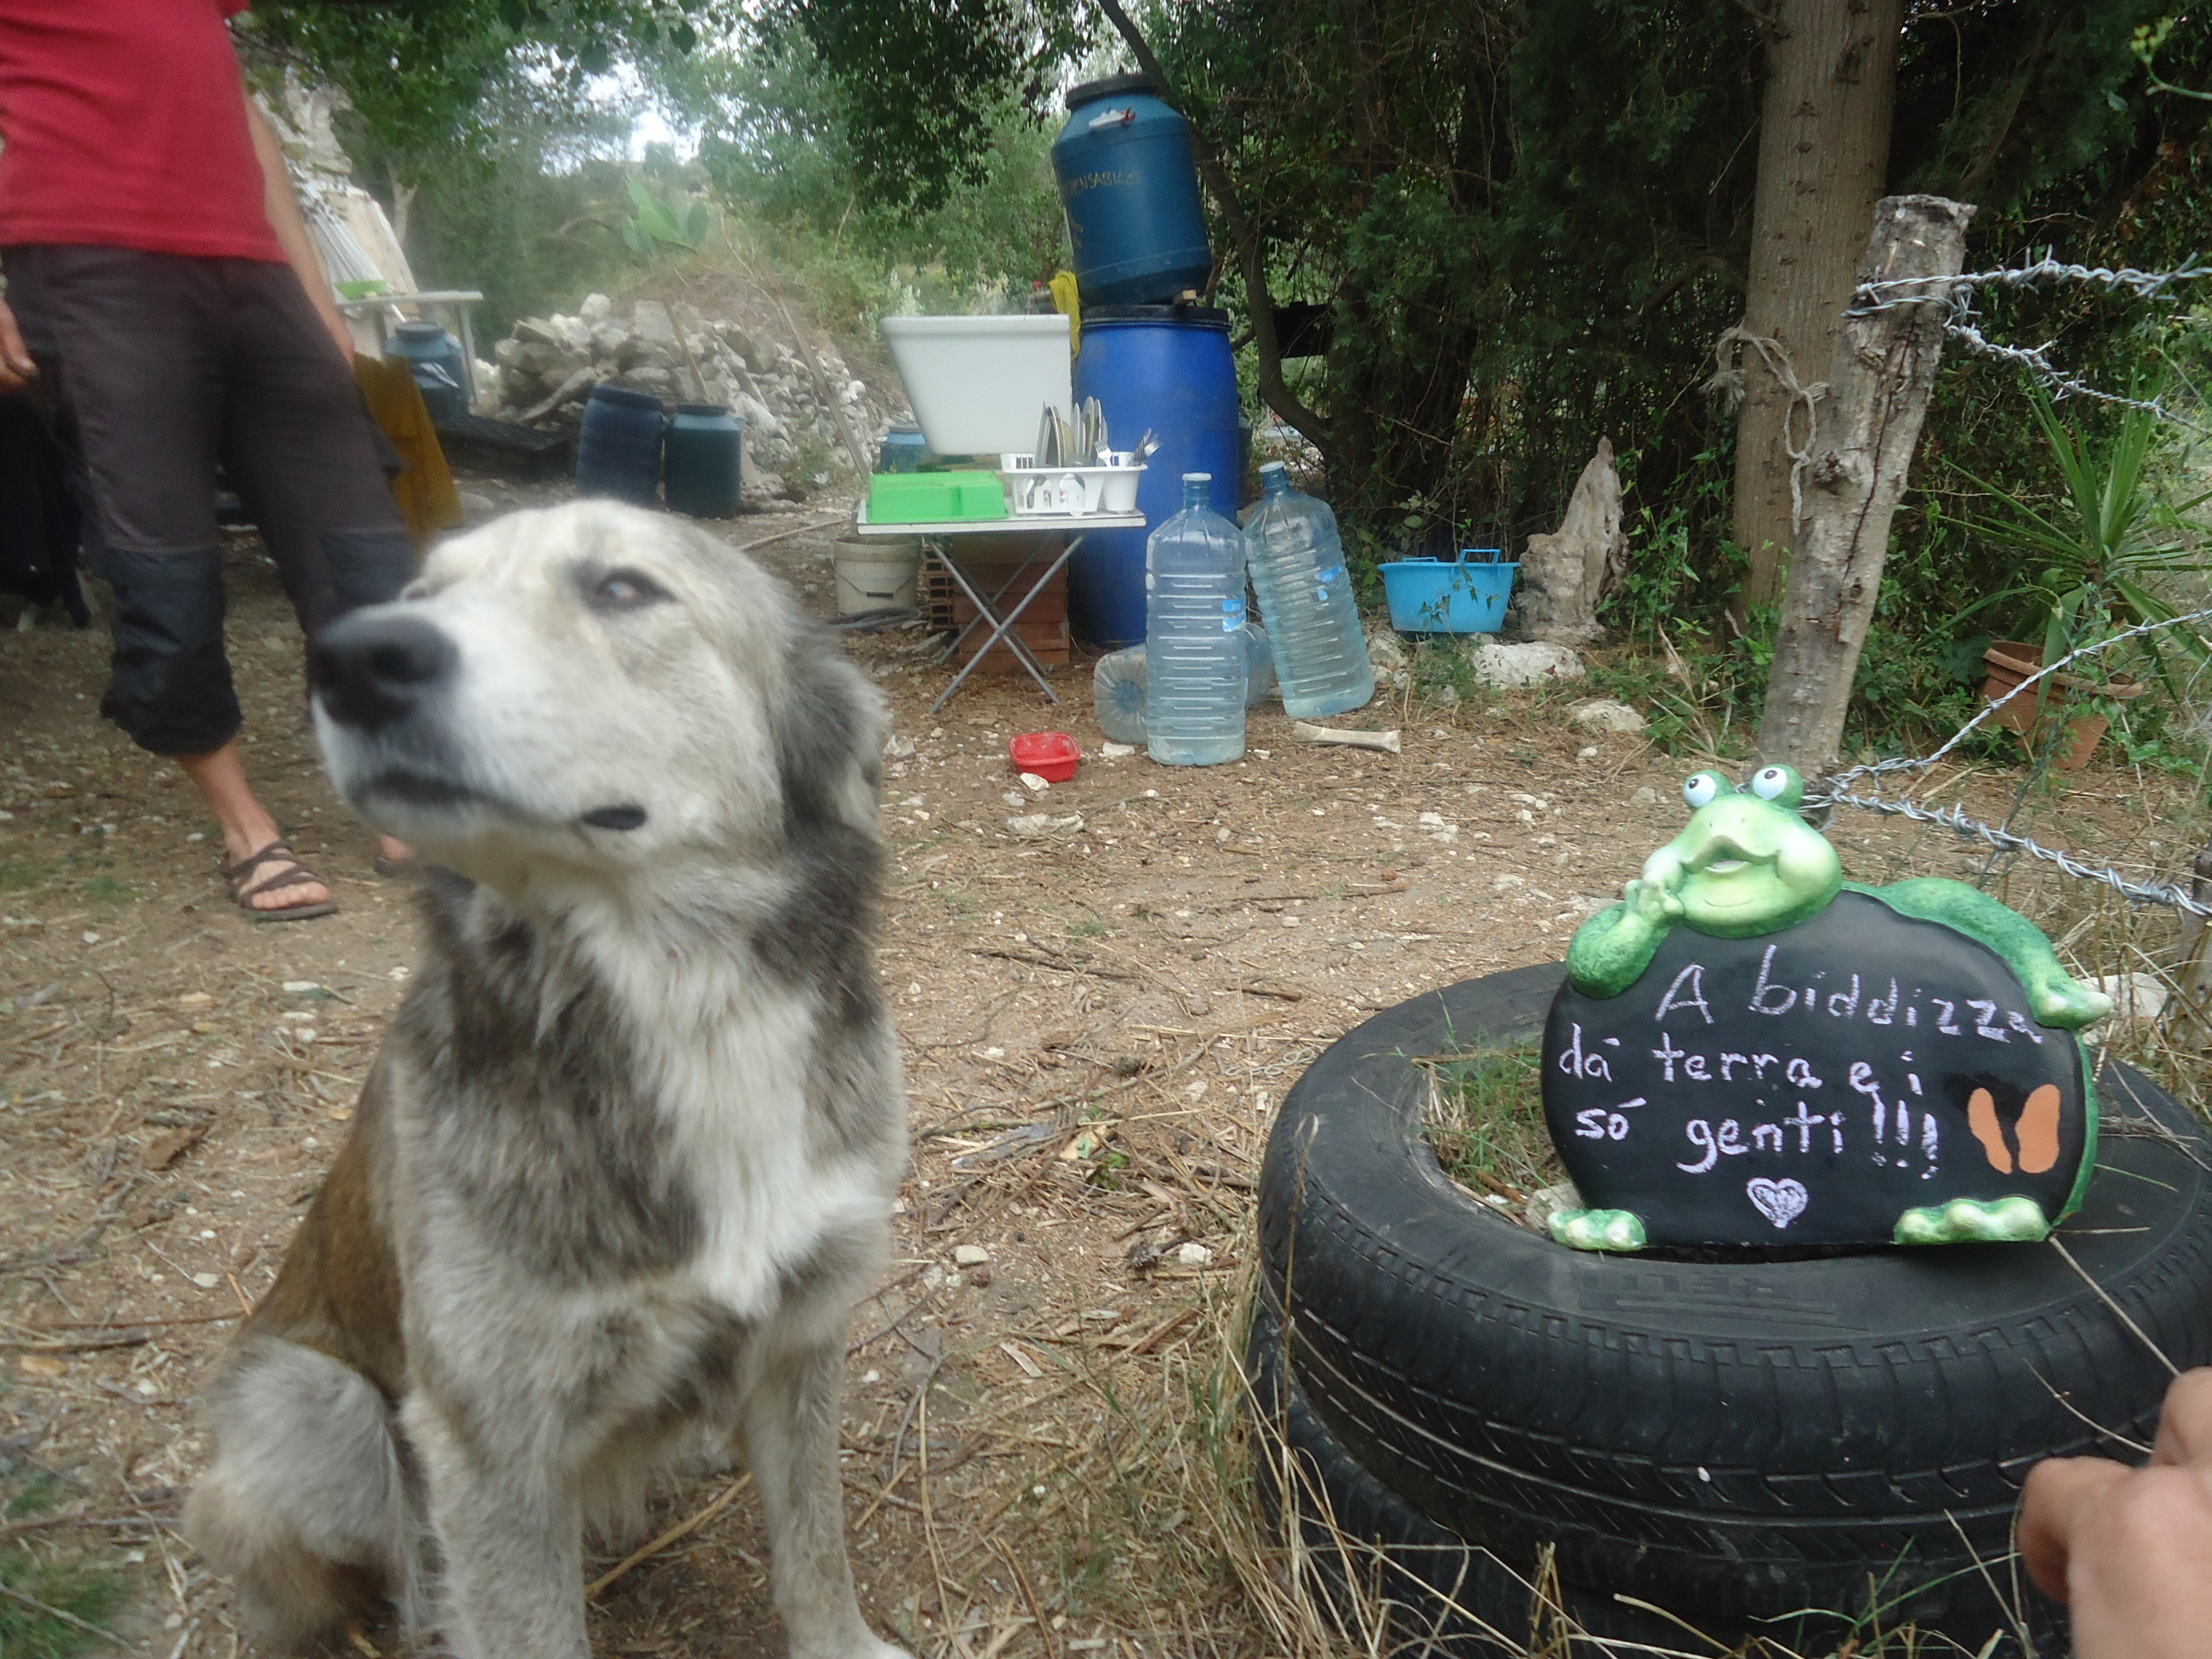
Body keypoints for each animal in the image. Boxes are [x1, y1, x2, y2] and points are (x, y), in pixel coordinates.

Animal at [185, 501, 914, 1659]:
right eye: (421, 594)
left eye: (622, 588)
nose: (350, 659)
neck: (684, 1015)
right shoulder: (494, 1445)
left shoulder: (804, 1330)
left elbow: (816, 1548)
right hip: (314, 1405)